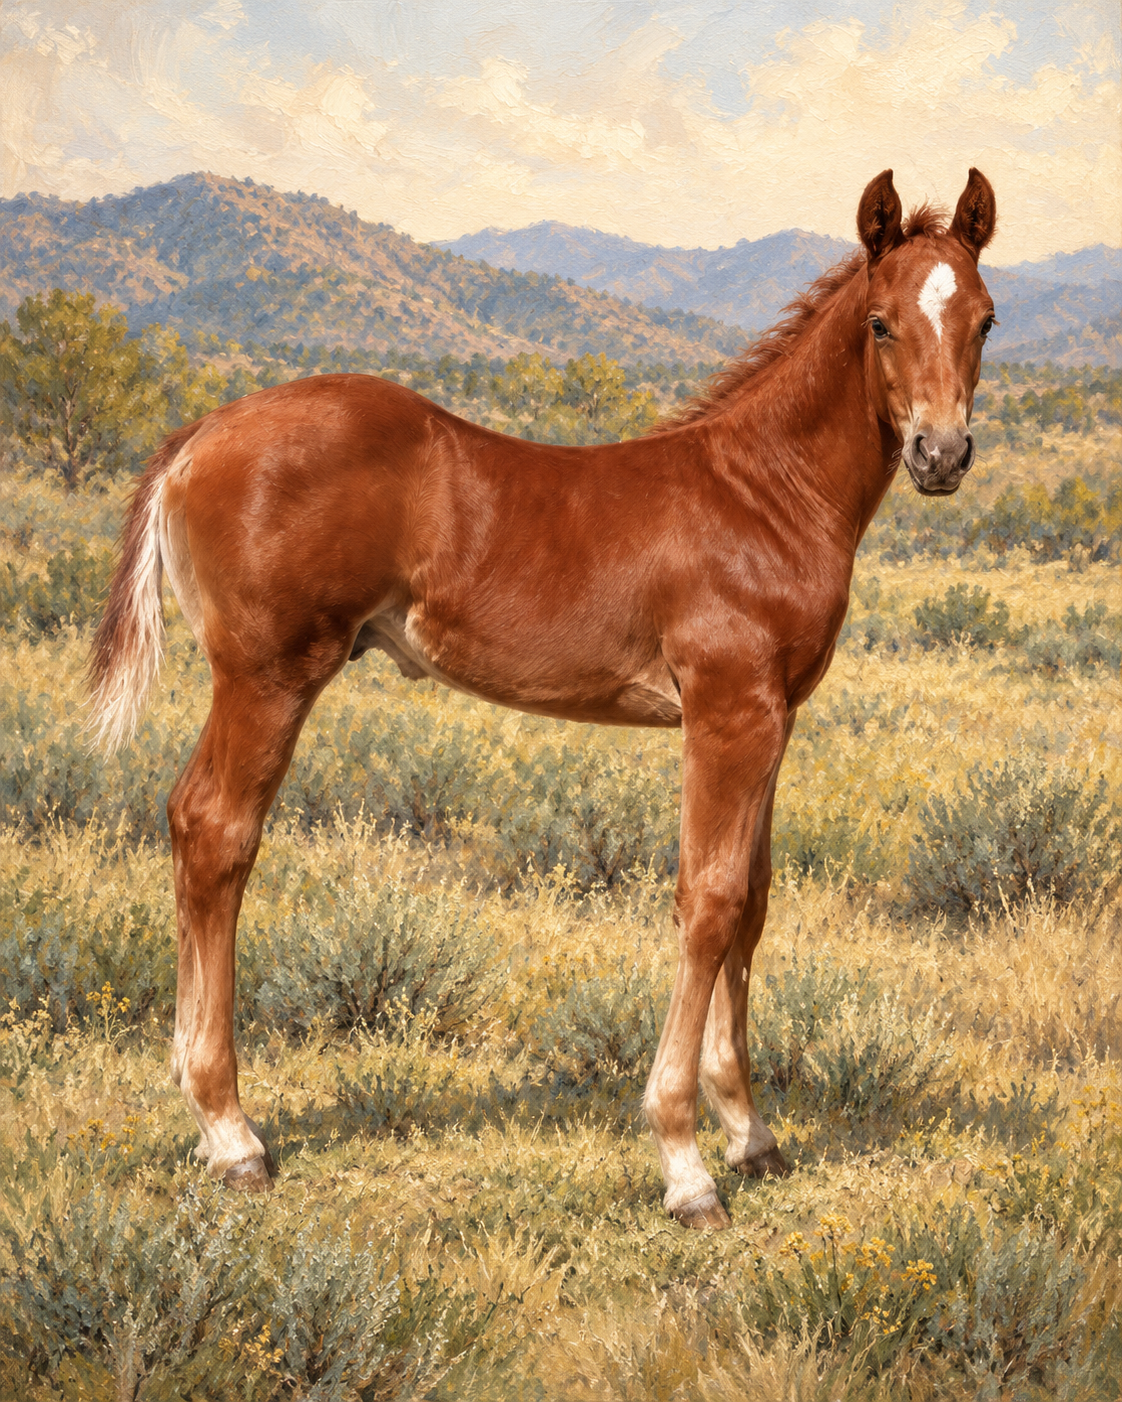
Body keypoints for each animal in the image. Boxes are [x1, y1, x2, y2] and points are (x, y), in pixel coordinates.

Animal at [89, 168, 997, 1229]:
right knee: (215, 832)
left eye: (985, 318)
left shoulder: (775, 719)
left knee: (194, 824)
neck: (763, 493)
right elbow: (709, 901)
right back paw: (231, 1134)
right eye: (883, 322)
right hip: (268, 678)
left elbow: (754, 902)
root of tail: (199, 435)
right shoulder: (726, 713)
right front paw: (685, 1162)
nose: (941, 453)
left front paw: (752, 1134)